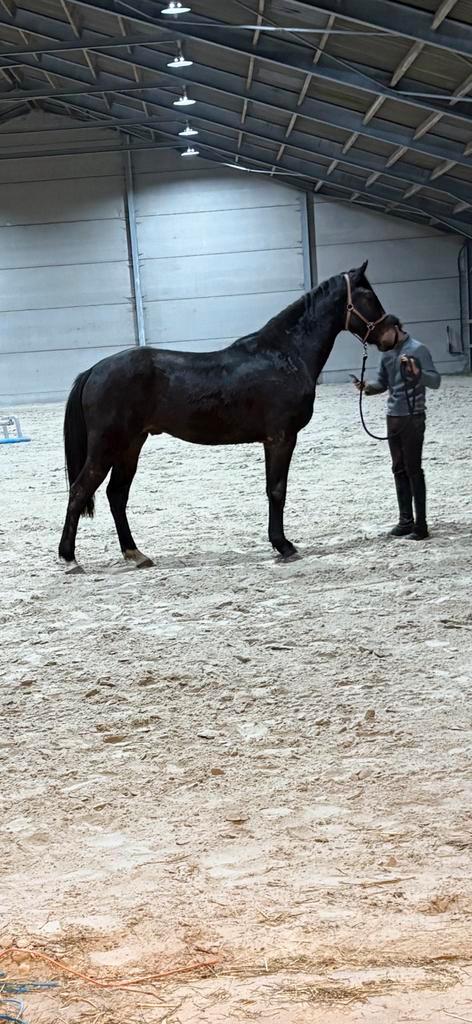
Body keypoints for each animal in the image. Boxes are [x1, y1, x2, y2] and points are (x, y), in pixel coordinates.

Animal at [59, 261, 386, 573]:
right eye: (369, 296)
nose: (391, 334)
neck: (285, 355)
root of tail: (94, 370)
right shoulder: (281, 438)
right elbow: (276, 490)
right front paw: (284, 546)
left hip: (130, 446)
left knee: (116, 495)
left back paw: (135, 554)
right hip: (107, 447)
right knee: (79, 491)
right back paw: (70, 559)